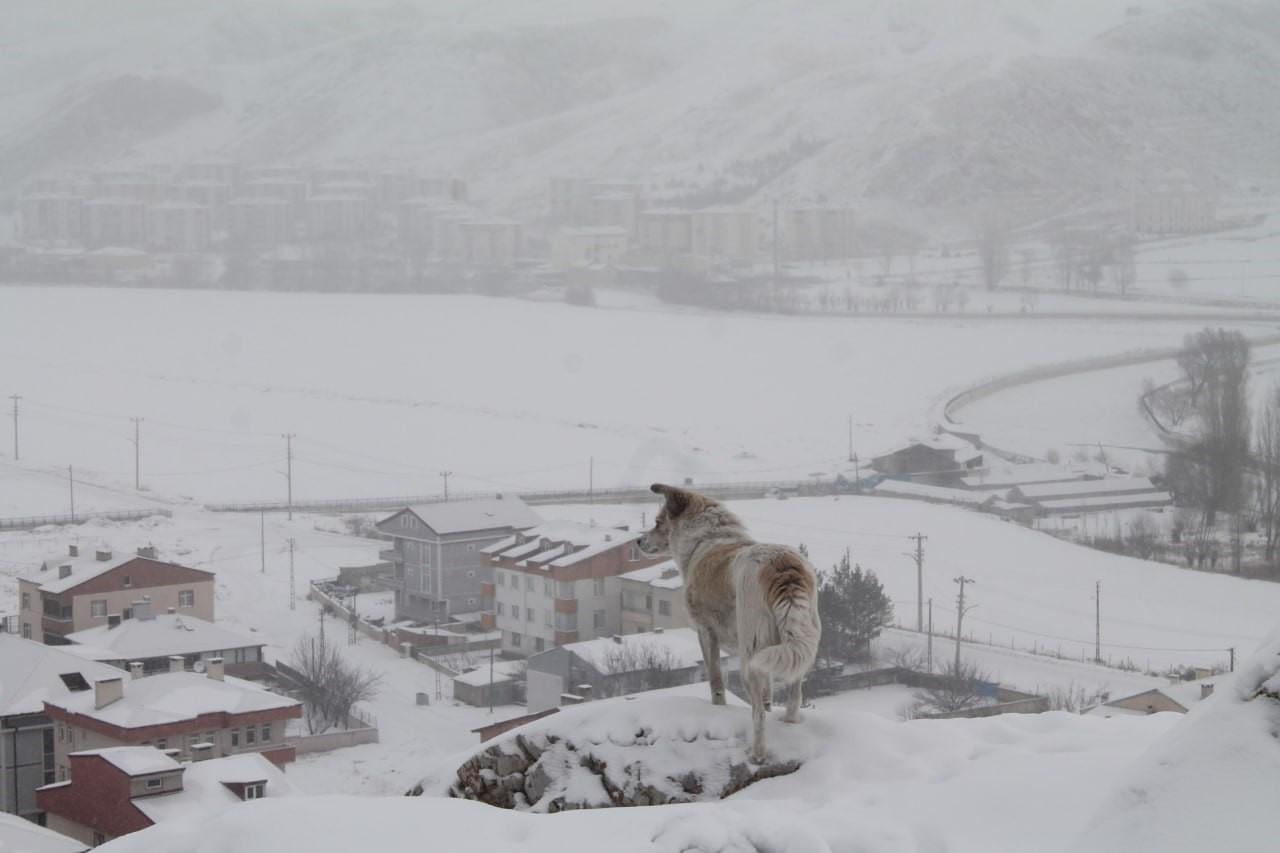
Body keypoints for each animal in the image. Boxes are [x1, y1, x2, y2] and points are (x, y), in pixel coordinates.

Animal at [637, 481, 824, 758]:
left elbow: (716, 681)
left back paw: (757, 753)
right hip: (797, 648)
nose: (638, 541)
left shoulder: (705, 633)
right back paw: (788, 726)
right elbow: (768, 697)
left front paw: (718, 709)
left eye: (658, 522)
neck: (705, 540)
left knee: (757, 714)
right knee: (793, 699)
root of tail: (782, 565)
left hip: (750, 656)